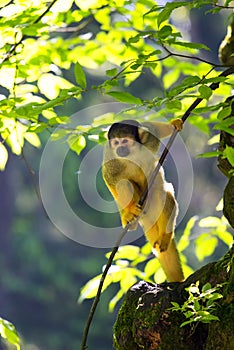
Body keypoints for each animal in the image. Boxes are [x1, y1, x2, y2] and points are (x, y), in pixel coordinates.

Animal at [102, 118, 185, 282]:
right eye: (116, 142)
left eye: (125, 141)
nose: (120, 149)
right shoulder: (110, 157)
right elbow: (112, 181)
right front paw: (126, 214)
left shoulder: (147, 140)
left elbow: (153, 129)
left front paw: (174, 124)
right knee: (124, 183)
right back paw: (131, 216)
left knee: (163, 195)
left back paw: (165, 236)